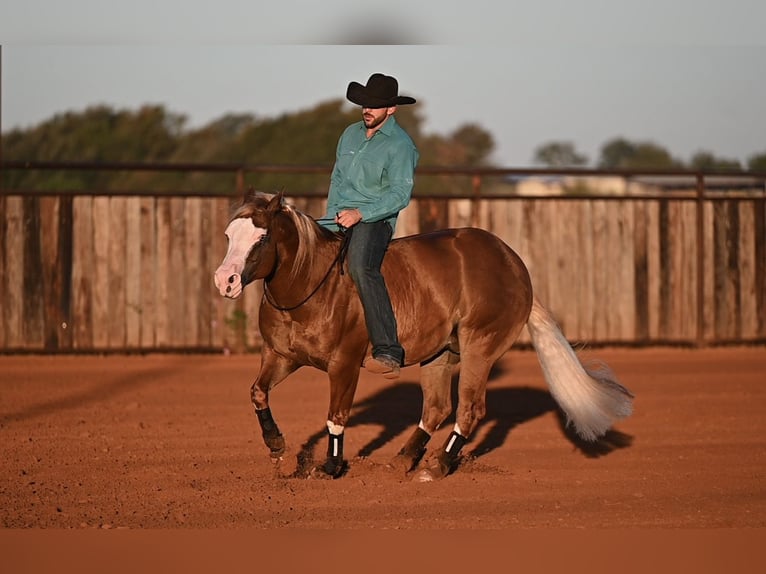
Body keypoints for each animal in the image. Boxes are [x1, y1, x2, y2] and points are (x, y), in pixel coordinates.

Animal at [213, 191, 634, 481]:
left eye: (262, 238)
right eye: (229, 234)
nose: (225, 281)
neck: (312, 285)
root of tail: (513, 262)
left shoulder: (343, 364)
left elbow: (336, 416)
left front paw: (330, 467)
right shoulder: (281, 357)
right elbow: (257, 392)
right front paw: (276, 446)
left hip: (480, 346)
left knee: (469, 409)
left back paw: (438, 465)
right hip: (440, 354)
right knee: (436, 408)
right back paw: (404, 458)